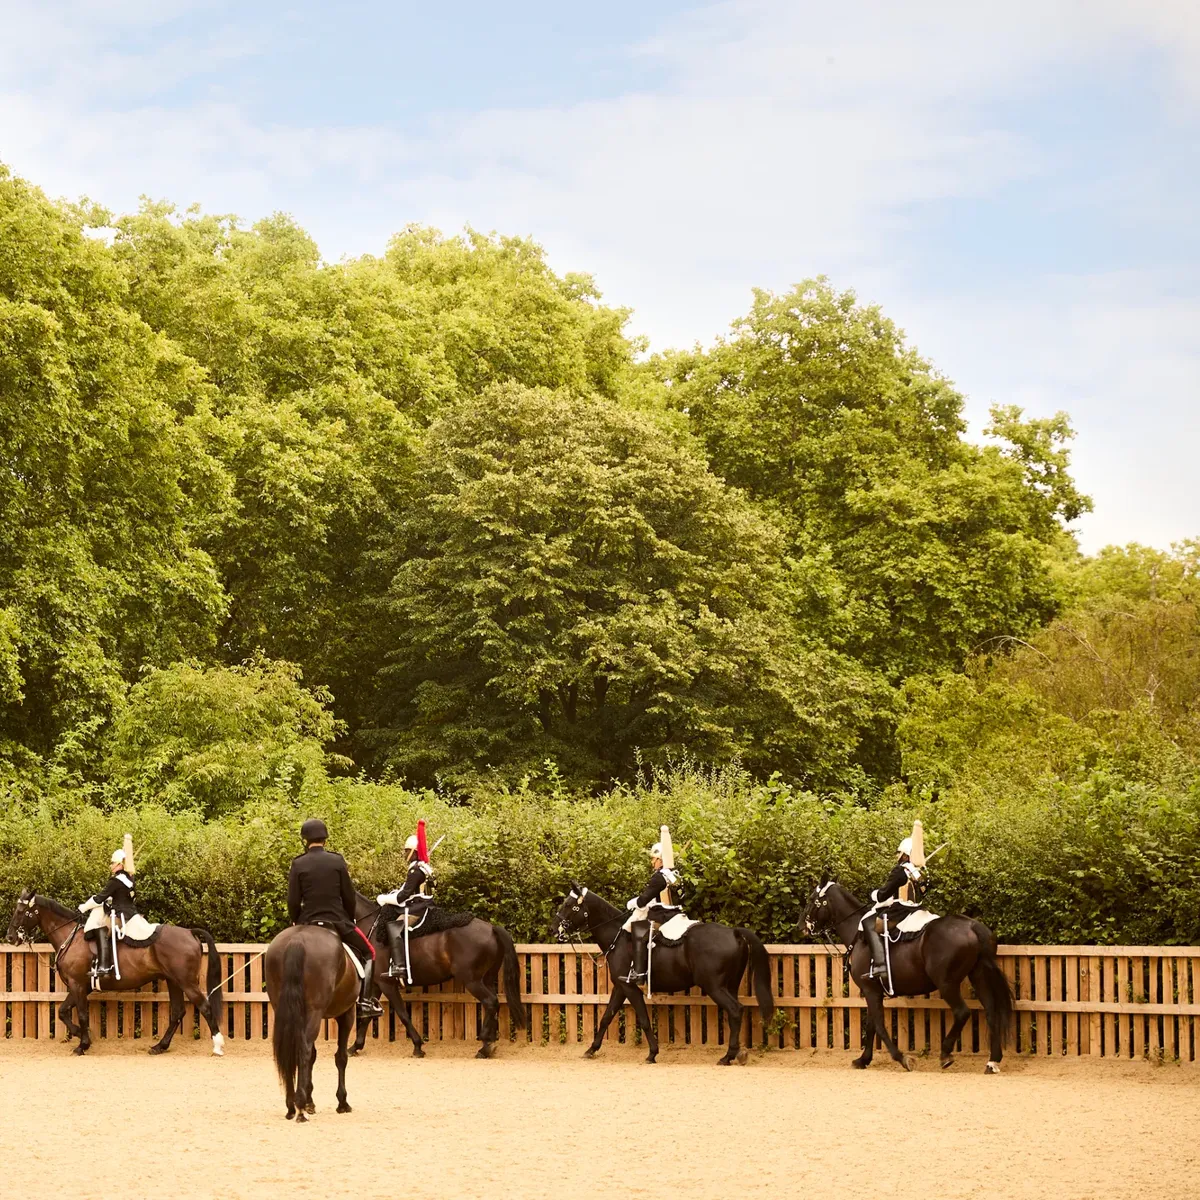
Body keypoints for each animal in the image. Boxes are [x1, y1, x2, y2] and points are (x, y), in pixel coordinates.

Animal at [5, 888, 225, 1056]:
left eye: (21, 911)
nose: (10, 937)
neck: (71, 938)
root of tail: (189, 932)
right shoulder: (80, 986)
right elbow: (63, 1011)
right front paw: (79, 1034)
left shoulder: (77, 985)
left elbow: (81, 1014)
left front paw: (83, 1044)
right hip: (174, 982)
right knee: (178, 1012)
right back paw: (160, 1046)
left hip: (187, 982)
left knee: (205, 1008)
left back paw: (218, 1045)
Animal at [264, 924, 360, 1121]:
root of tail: (297, 939)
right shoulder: (347, 1014)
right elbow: (341, 1057)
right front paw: (342, 1102)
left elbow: (313, 1057)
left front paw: (310, 1101)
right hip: (316, 1012)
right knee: (304, 1049)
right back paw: (299, 1107)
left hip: (284, 1010)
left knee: (293, 1049)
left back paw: (291, 1106)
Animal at [351, 892, 526, 1058]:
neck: (372, 927)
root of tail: (491, 928)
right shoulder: (377, 983)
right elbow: (367, 1016)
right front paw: (354, 1047)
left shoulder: (387, 984)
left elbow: (403, 1014)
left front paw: (417, 1046)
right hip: (487, 979)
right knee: (493, 1004)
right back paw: (489, 1044)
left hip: (472, 981)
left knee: (490, 1002)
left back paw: (484, 1047)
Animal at [552, 883, 775, 1065]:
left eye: (569, 905)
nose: (555, 929)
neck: (619, 937)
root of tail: (734, 932)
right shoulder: (621, 986)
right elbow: (607, 1016)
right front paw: (591, 1049)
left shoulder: (630, 987)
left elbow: (643, 1019)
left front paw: (652, 1053)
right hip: (730, 985)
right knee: (735, 1014)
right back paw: (737, 1053)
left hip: (715, 987)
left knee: (735, 1010)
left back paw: (727, 1056)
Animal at [799, 881, 1013, 1073]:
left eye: (811, 899)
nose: (800, 926)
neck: (858, 934)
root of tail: (972, 926)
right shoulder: (873, 991)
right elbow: (871, 1025)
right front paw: (863, 1060)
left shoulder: (870, 991)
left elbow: (879, 1025)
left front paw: (902, 1058)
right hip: (979, 976)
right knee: (991, 1012)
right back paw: (992, 1061)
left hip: (947, 984)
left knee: (962, 1012)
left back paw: (945, 1054)